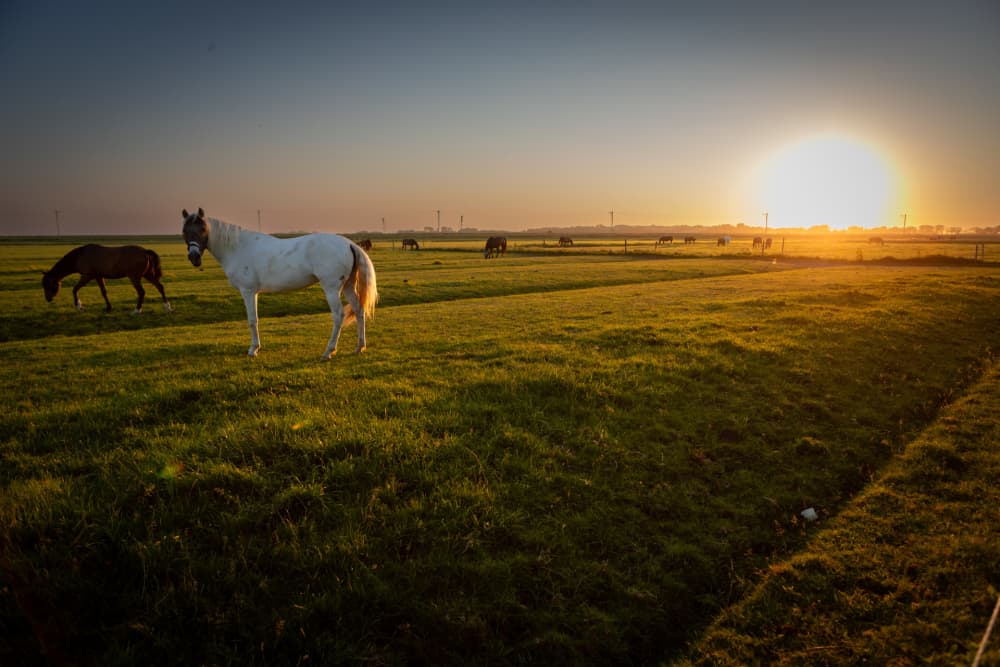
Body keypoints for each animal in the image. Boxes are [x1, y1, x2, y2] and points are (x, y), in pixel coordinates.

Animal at [42, 244, 172, 318]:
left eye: (48, 285)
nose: (48, 299)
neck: (80, 256)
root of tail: (145, 251)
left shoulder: (87, 276)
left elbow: (74, 289)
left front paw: (79, 306)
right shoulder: (99, 276)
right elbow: (104, 292)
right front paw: (108, 308)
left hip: (134, 277)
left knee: (141, 292)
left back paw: (136, 311)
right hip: (148, 275)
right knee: (160, 287)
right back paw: (167, 307)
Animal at [182, 207, 376, 360]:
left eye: (202, 229)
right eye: (184, 231)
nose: (194, 258)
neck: (238, 248)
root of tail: (349, 243)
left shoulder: (248, 291)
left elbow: (252, 319)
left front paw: (253, 350)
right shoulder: (254, 292)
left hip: (331, 288)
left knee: (338, 315)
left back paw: (329, 351)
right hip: (348, 286)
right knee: (359, 310)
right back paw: (360, 347)